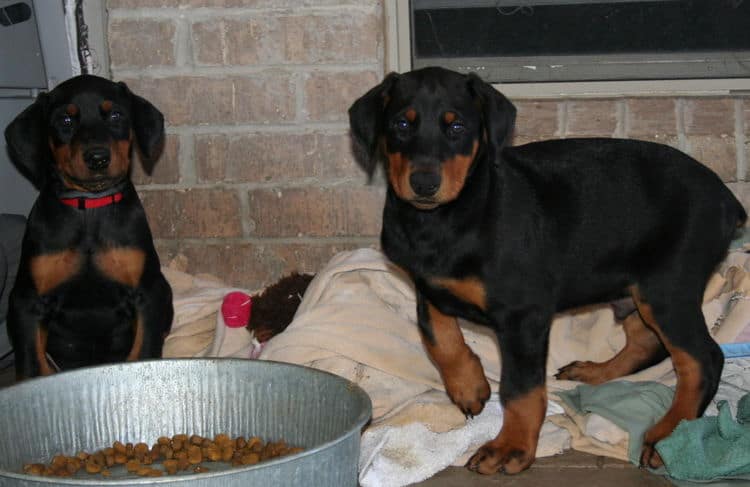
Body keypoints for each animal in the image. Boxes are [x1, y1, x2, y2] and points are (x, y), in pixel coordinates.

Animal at [3, 75, 173, 382]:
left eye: (116, 115)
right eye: (65, 120)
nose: (97, 158)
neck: (89, 208)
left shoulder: (149, 293)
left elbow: (143, 351)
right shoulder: (26, 301)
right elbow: (33, 365)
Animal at [350, 67, 748, 476]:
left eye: (457, 126)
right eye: (401, 124)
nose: (424, 183)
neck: (446, 218)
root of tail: (727, 200)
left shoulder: (524, 315)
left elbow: (520, 388)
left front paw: (510, 447)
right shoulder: (427, 286)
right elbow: (438, 338)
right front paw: (469, 387)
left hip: (667, 289)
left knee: (703, 358)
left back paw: (668, 433)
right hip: (637, 287)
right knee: (646, 340)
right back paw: (595, 373)